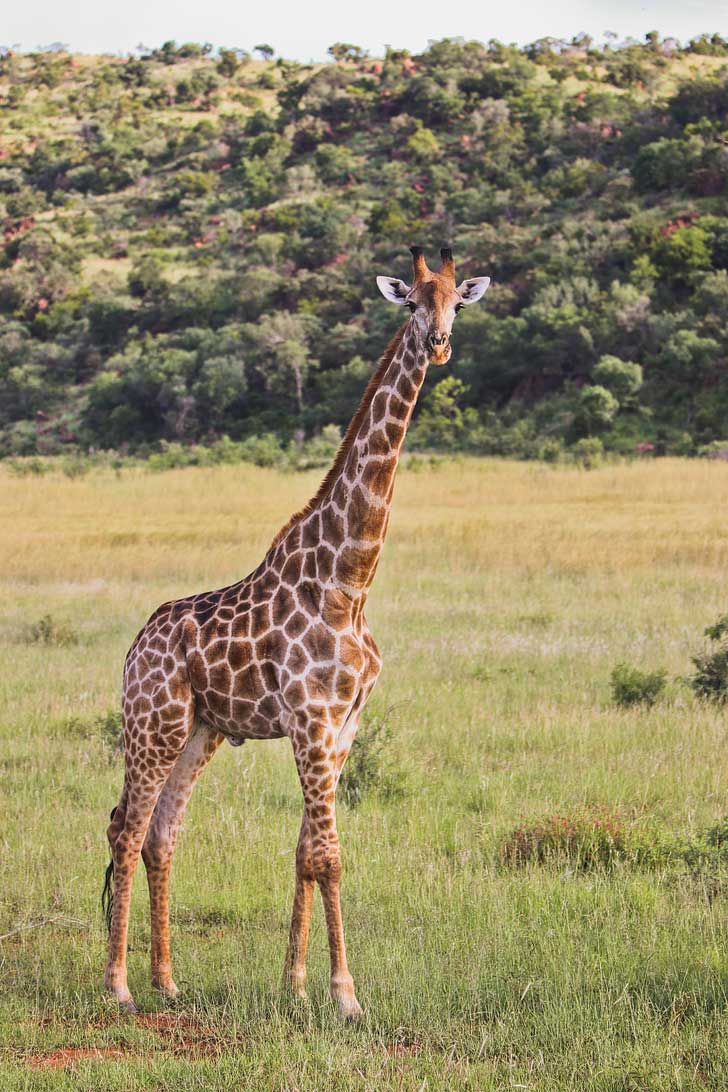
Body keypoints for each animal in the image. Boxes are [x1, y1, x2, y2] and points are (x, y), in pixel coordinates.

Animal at [102, 245, 488, 1013]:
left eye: (458, 301)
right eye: (411, 302)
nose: (438, 343)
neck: (350, 579)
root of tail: (135, 648)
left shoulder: (343, 726)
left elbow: (307, 851)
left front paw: (296, 983)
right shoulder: (311, 719)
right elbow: (330, 856)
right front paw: (344, 994)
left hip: (201, 729)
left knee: (162, 833)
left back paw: (167, 980)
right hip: (152, 723)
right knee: (126, 830)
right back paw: (120, 987)